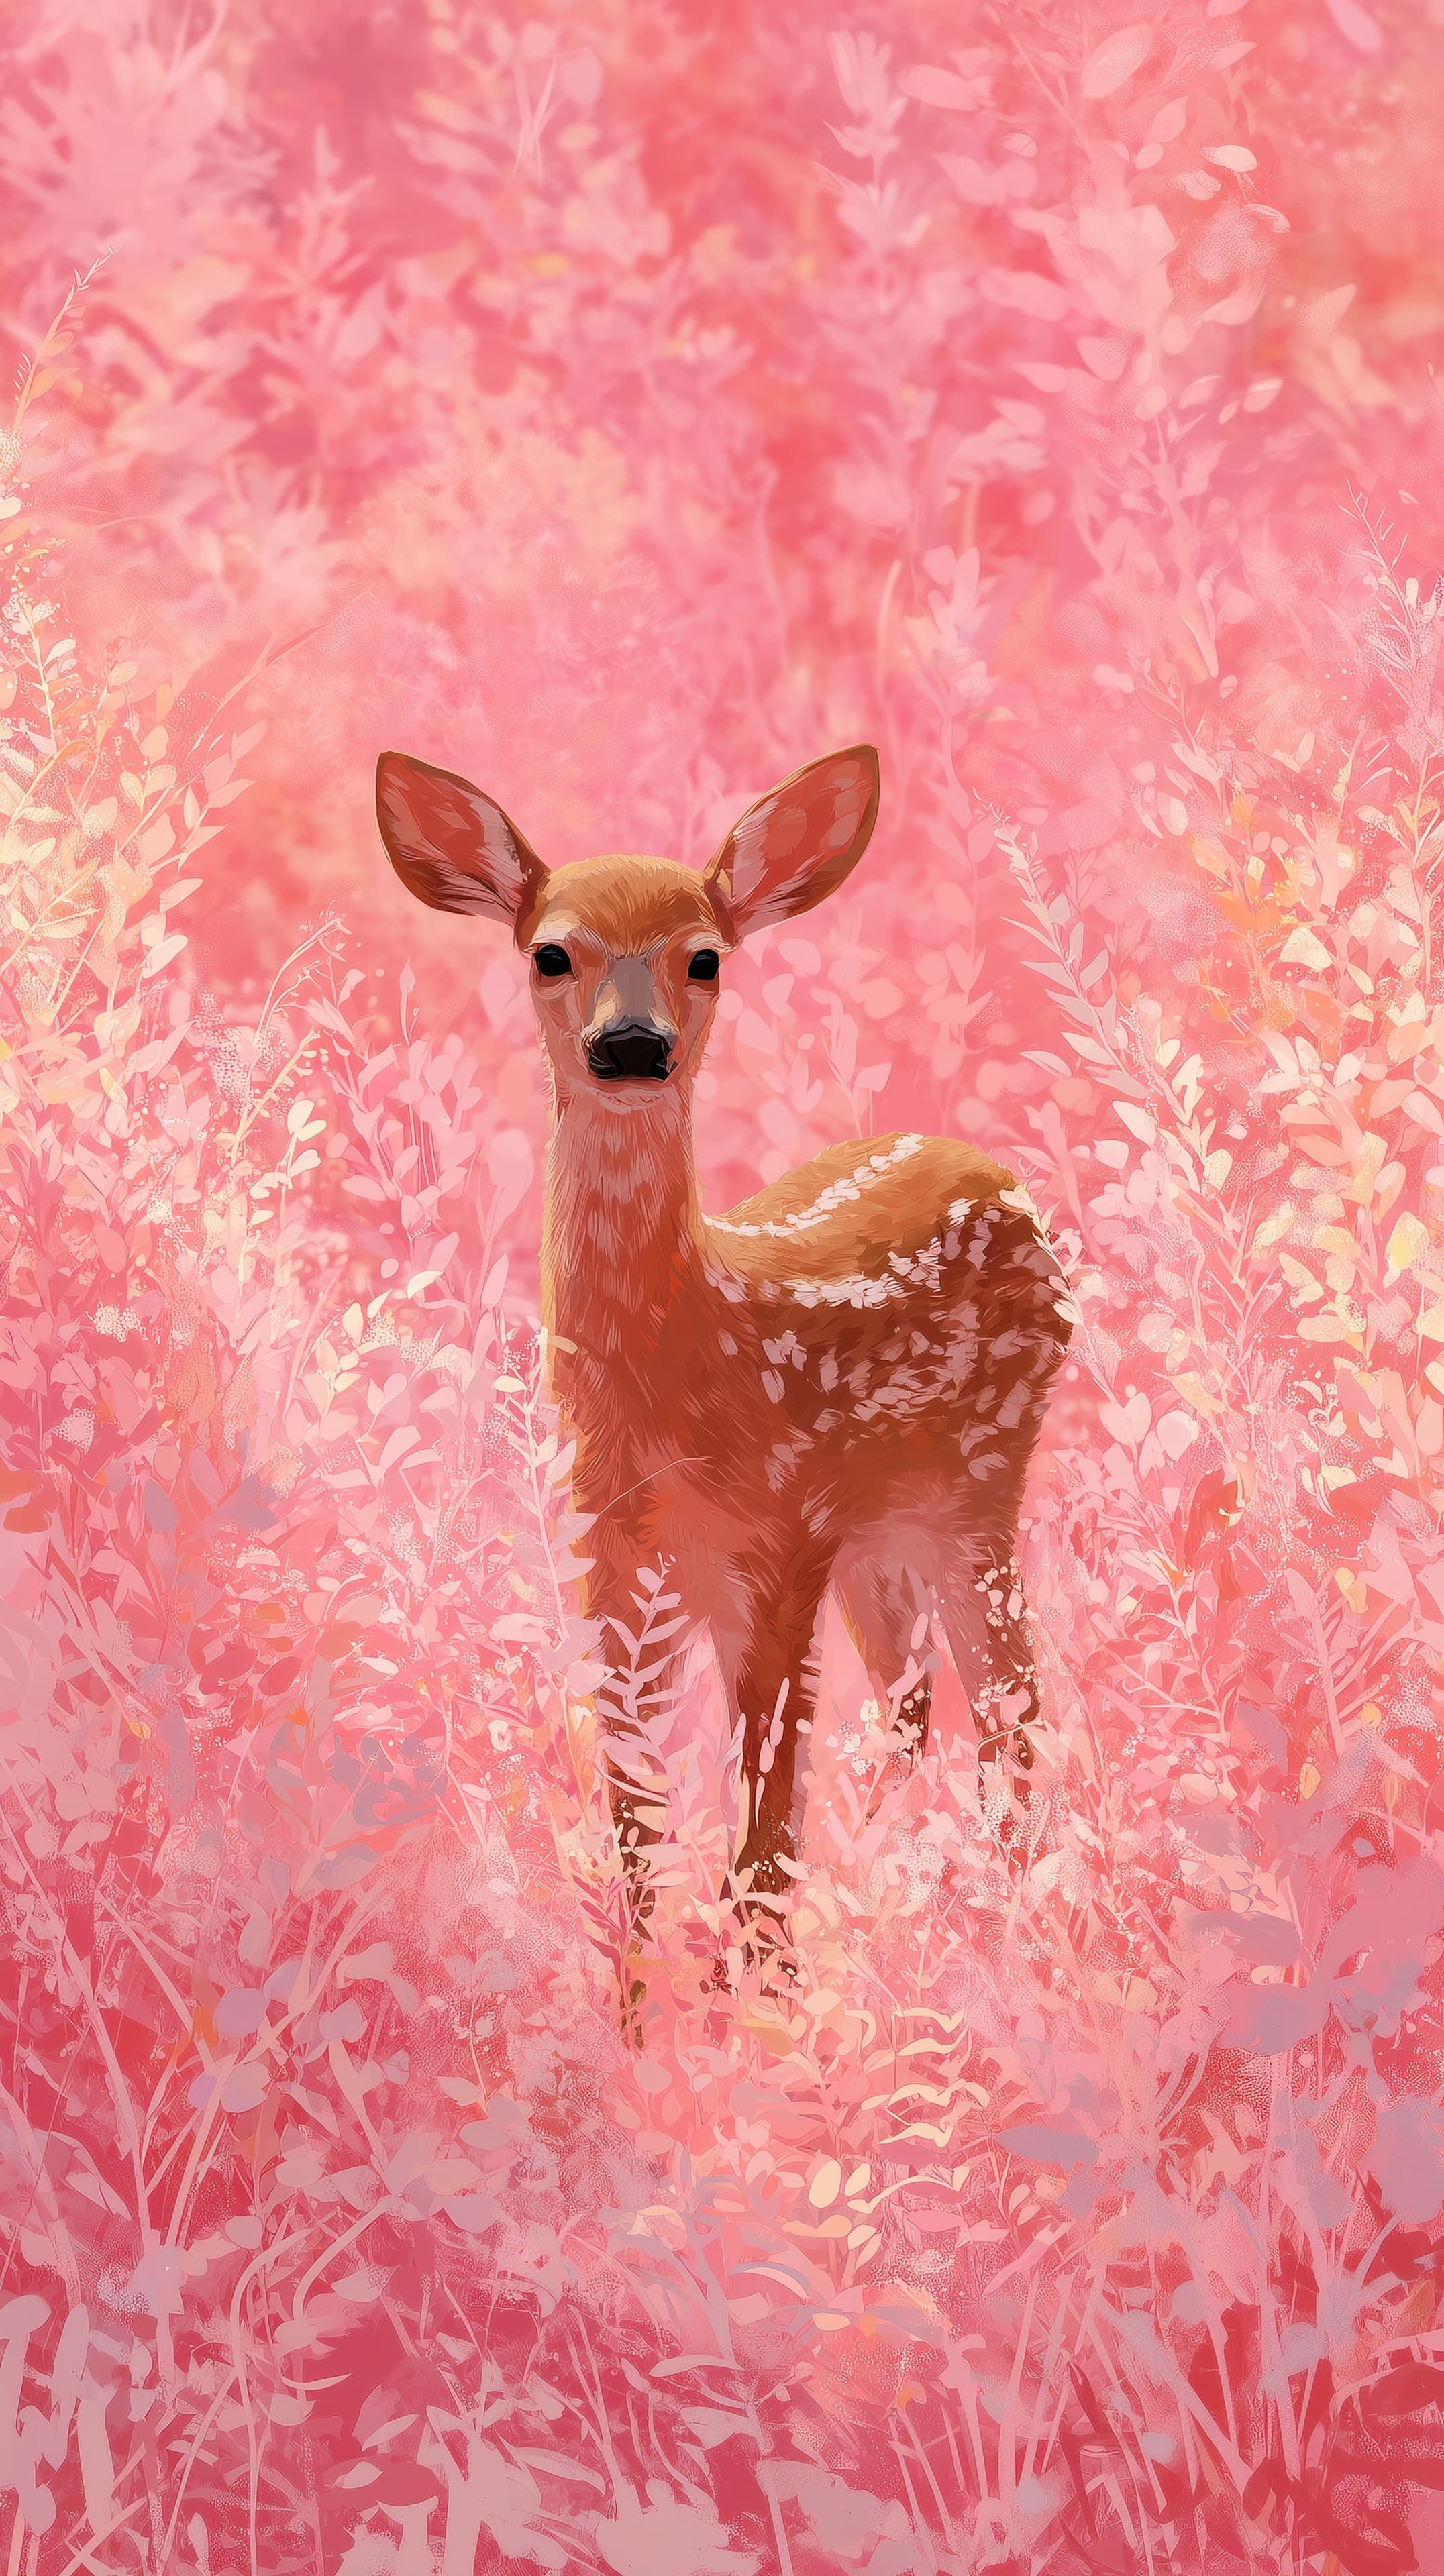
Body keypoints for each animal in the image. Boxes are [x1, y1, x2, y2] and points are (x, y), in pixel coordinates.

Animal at [375, 743, 1072, 1940]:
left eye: (704, 958)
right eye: (550, 951)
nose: (631, 1045)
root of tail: (1001, 1177)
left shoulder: (779, 1551)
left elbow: (759, 1839)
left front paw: (755, 1982)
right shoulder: (616, 1570)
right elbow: (635, 1823)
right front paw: (639, 1985)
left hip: (979, 1487)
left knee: (1010, 1701)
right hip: (881, 1534)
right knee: (913, 1701)